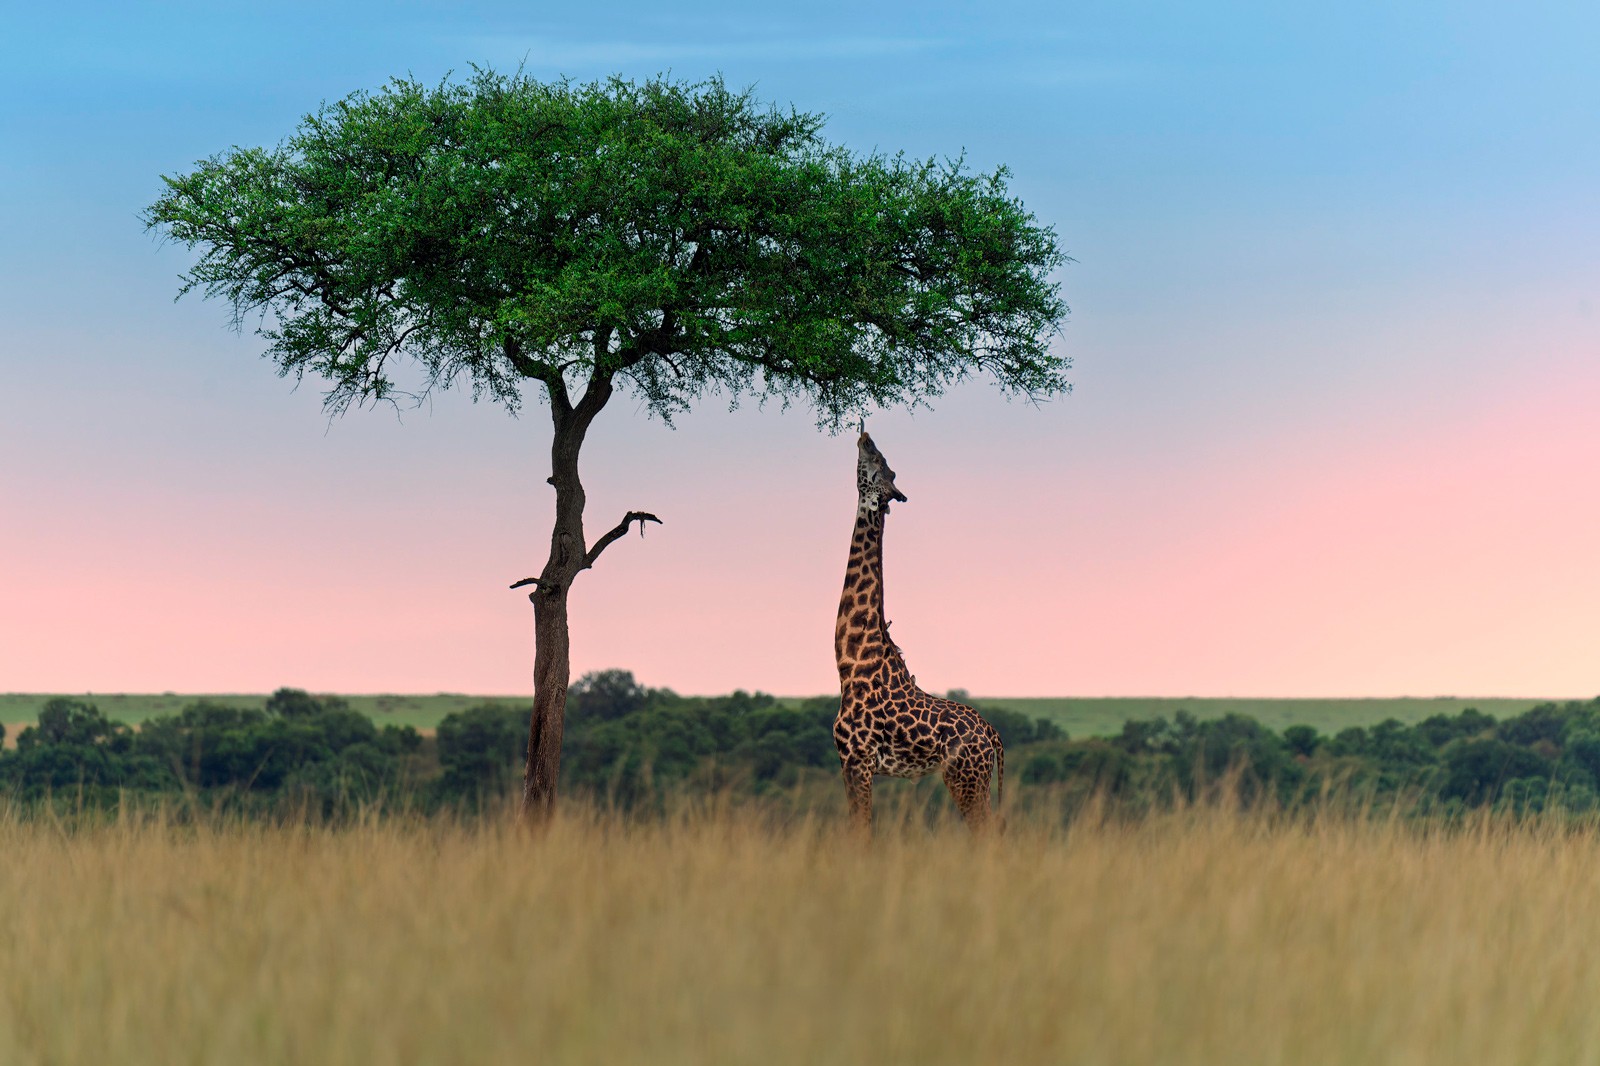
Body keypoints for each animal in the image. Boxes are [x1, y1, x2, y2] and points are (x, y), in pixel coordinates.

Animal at [833, 430, 1004, 832]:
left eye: (881, 463)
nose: (865, 435)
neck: (850, 660)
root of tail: (992, 735)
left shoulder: (856, 759)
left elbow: (860, 832)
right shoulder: (852, 763)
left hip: (966, 776)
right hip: (977, 778)